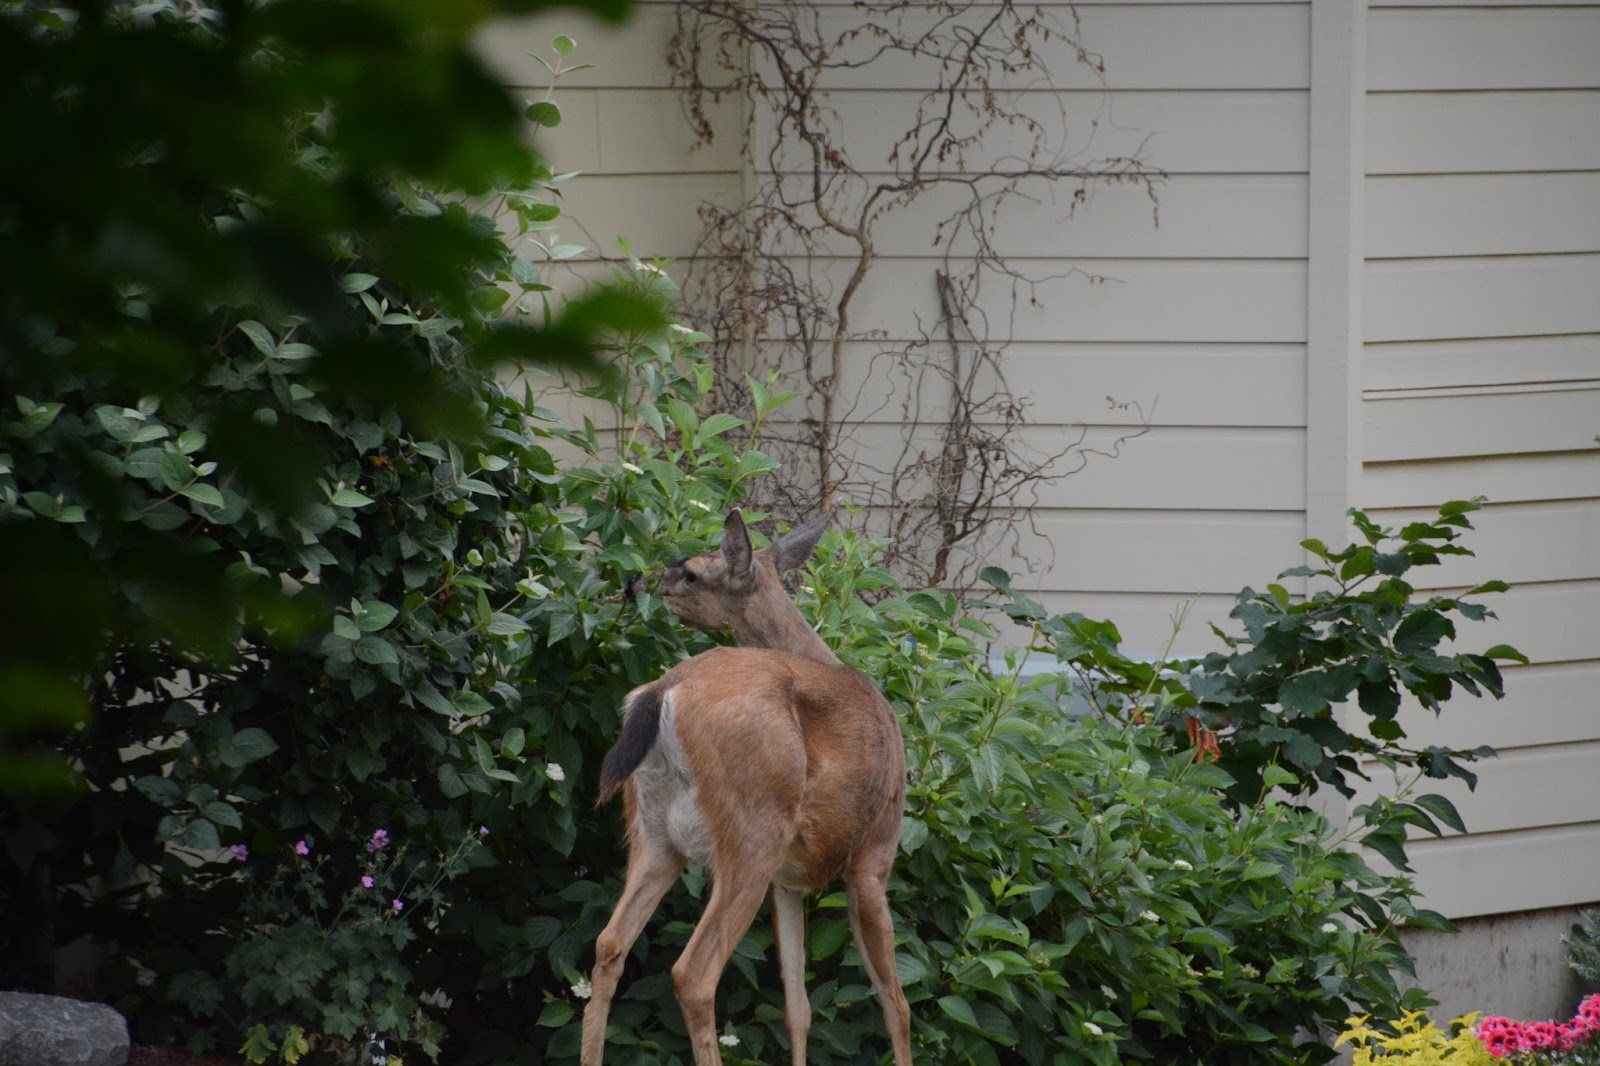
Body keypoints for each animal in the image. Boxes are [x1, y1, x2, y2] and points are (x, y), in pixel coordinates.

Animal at [580, 509, 913, 1066]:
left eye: (690, 571)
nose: (634, 584)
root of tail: (663, 691)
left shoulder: (789, 879)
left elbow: (798, 1007)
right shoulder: (873, 852)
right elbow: (895, 1003)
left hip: (656, 834)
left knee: (609, 945)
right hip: (753, 830)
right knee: (693, 975)